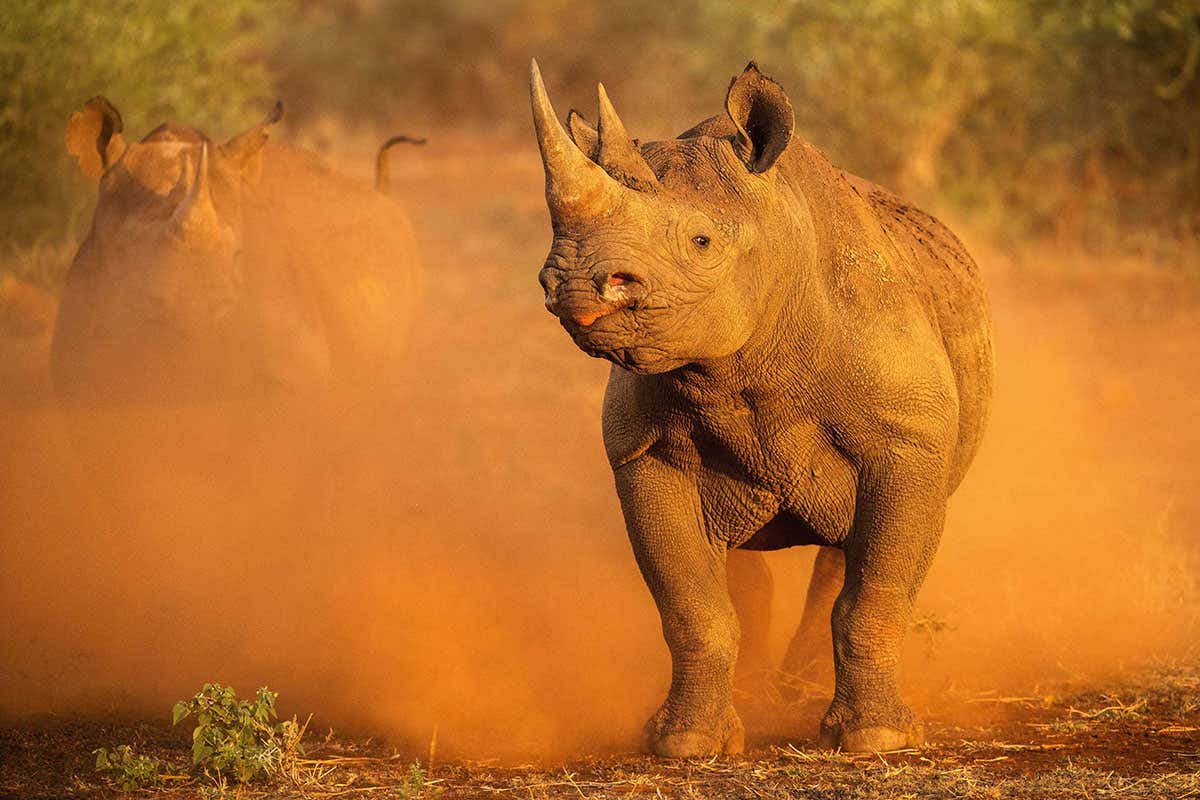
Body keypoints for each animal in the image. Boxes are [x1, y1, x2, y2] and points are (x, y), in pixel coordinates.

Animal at [530, 61, 993, 757]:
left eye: (701, 241)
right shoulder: (645, 451)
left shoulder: (908, 444)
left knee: (841, 562)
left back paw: (801, 697)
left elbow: (875, 594)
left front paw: (879, 739)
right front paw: (687, 745)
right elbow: (691, 607)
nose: (575, 286)